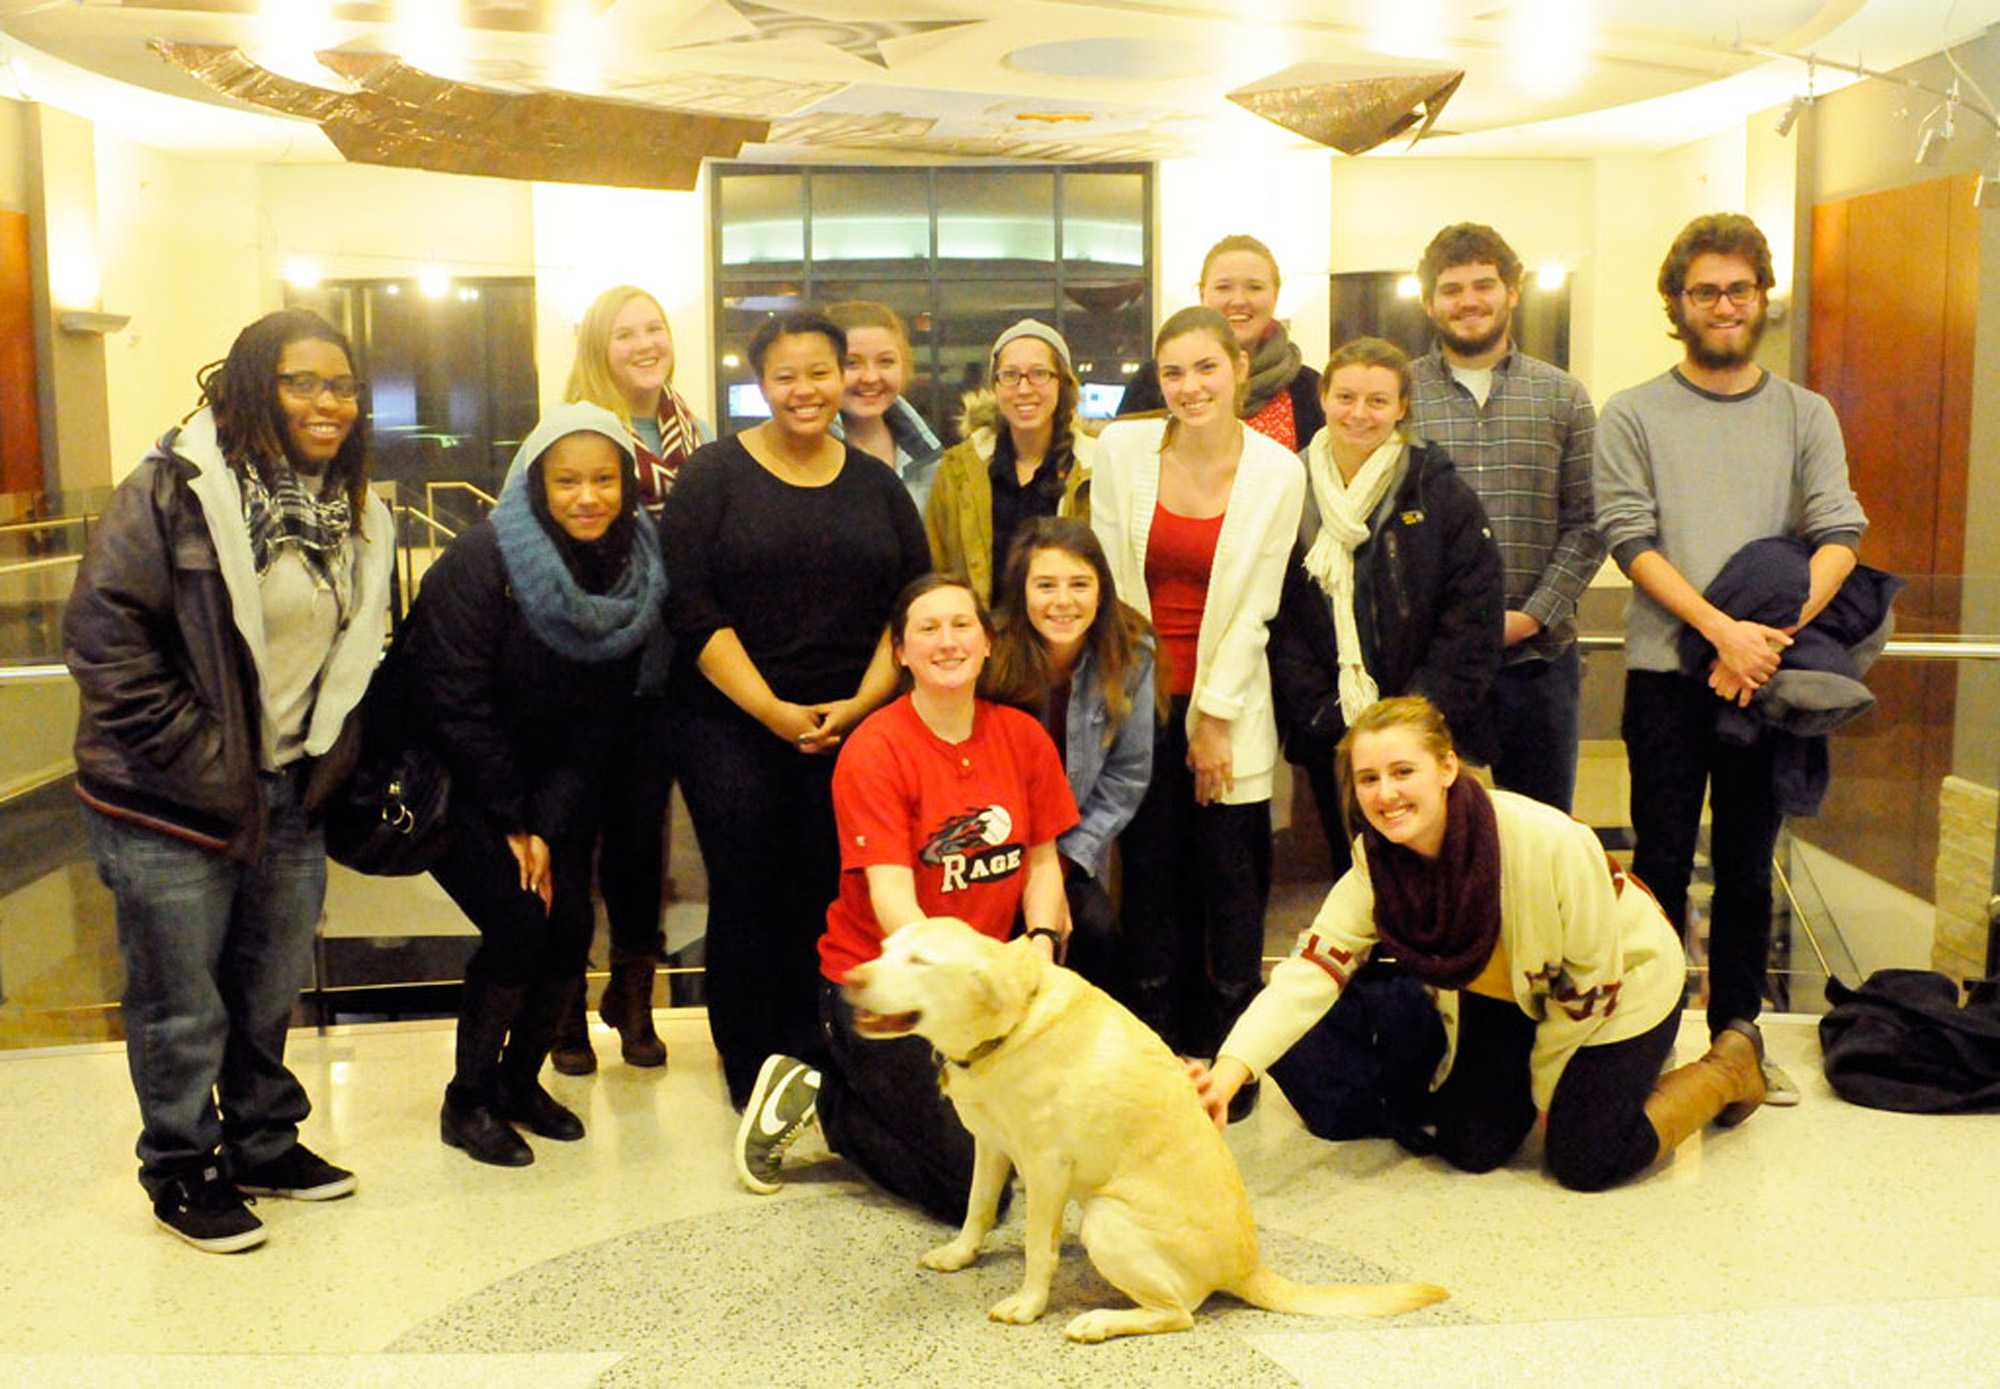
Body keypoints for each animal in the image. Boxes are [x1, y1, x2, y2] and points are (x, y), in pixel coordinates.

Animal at [836, 920, 1448, 1344]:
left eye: (920, 961)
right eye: (884, 947)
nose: (848, 979)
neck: (1010, 1028)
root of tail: (1249, 1267)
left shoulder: (1046, 1170)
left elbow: (1037, 1248)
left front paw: (1029, 1304)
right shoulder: (989, 1146)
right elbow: (977, 1209)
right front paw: (960, 1255)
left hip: (1106, 1218)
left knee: (1178, 1314)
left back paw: (1100, 1322)